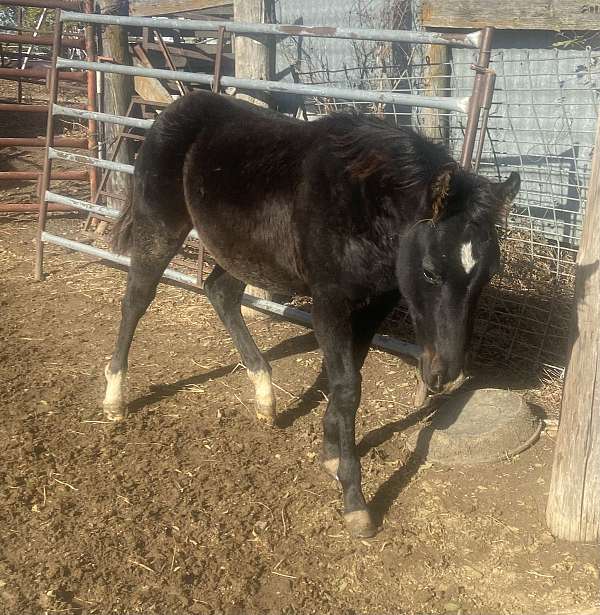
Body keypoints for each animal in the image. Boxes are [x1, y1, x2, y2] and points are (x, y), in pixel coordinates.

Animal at [104, 91, 520, 540]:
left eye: (489, 273)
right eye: (429, 271)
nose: (446, 373)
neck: (362, 205)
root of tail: (177, 107)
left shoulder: (374, 304)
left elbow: (346, 378)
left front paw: (331, 453)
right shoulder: (329, 302)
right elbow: (347, 386)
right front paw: (354, 499)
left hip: (242, 250)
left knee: (220, 292)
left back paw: (265, 396)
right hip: (160, 225)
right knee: (137, 298)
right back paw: (114, 398)